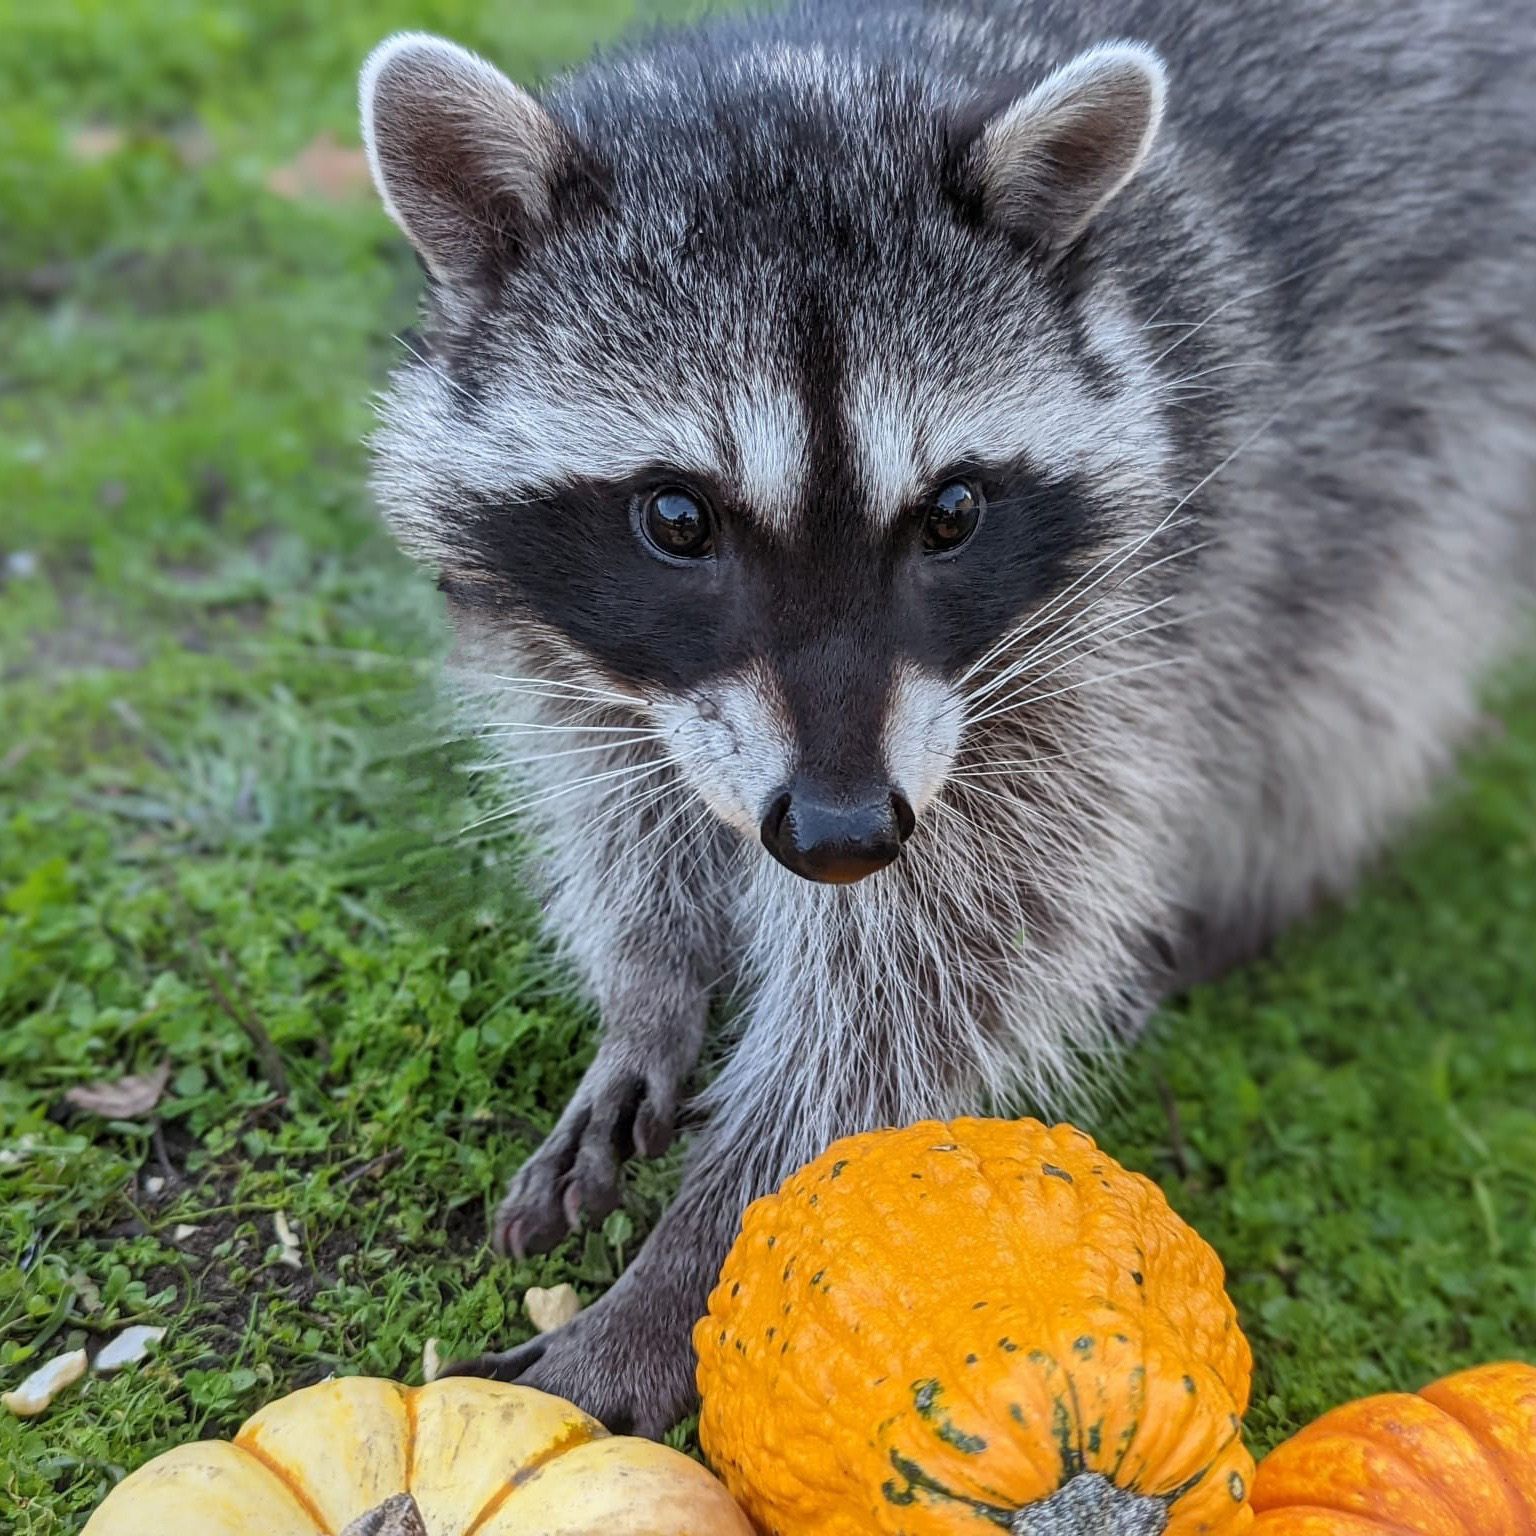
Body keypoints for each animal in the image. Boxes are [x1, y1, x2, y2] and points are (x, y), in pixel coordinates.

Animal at [359, 0, 1536, 1434]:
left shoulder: (1086, 644)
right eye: (676, 519)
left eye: (954, 512)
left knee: (1363, 656)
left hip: (1444, 405)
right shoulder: (596, 658)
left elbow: (927, 984)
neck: (837, 66)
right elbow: (623, 799)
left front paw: (689, 1275)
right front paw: (650, 988)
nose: (842, 836)